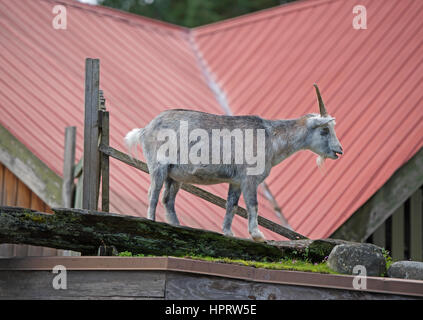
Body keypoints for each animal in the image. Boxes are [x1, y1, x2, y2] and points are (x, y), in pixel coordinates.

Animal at [124, 84, 342, 241]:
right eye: (324, 130)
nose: (339, 151)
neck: (270, 137)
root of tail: (144, 129)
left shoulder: (235, 181)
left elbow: (232, 205)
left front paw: (228, 233)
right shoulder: (249, 178)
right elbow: (253, 204)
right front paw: (257, 235)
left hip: (174, 175)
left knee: (167, 199)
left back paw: (177, 226)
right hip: (158, 166)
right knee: (153, 193)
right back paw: (152, 221)